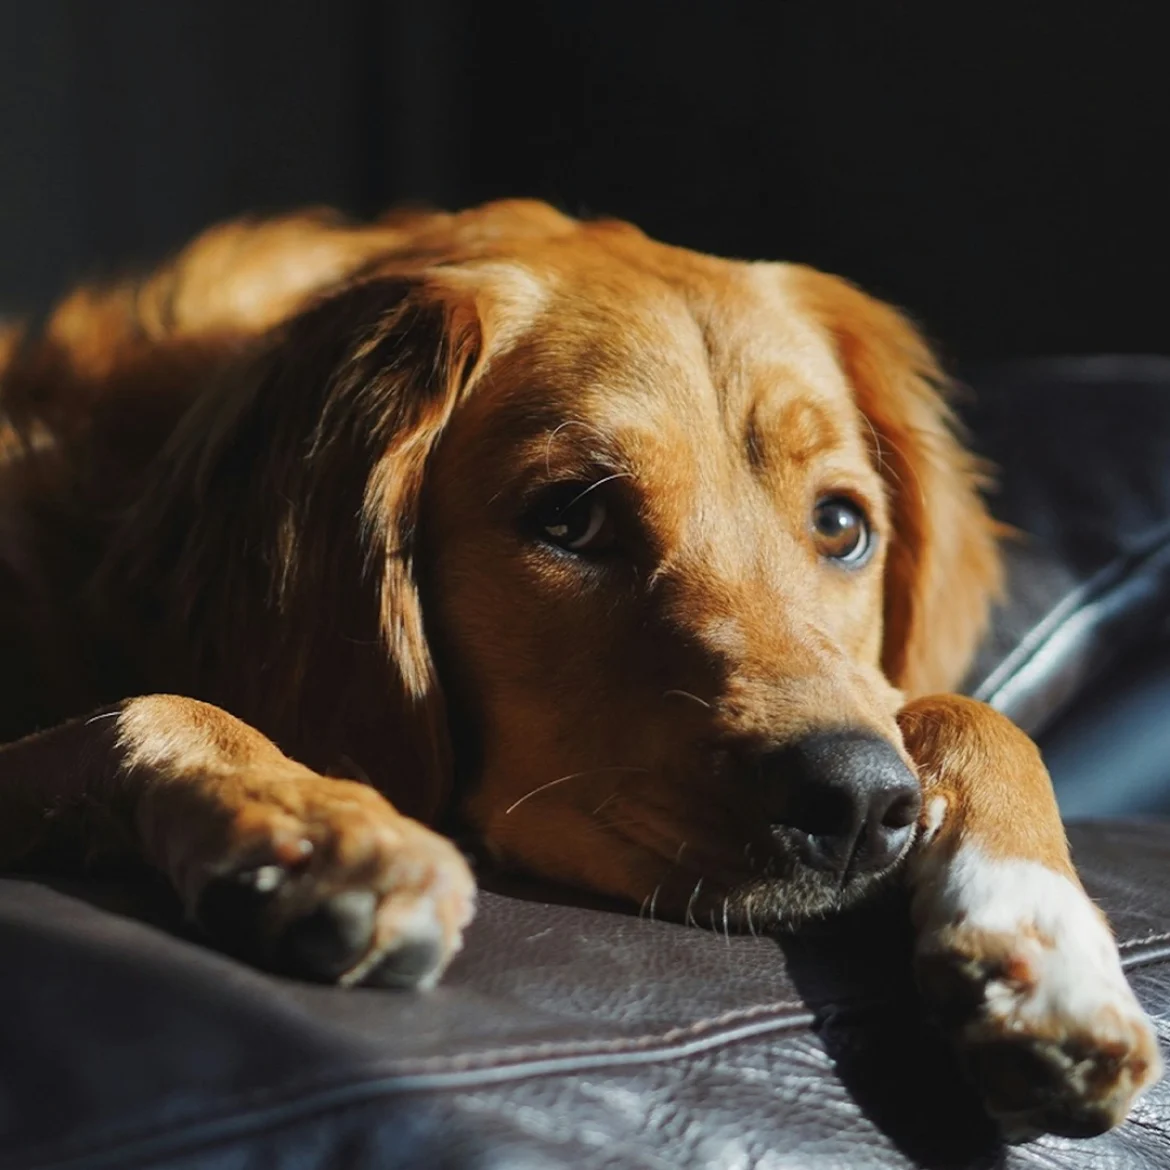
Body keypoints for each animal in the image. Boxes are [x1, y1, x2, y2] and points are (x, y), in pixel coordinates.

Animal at [0, 198, 1160, 1132]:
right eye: (572, 519)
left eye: (841, 526)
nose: (861, 805)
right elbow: (155, 703)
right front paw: (318, 825)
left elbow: (972, 714)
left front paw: (1045, 948)